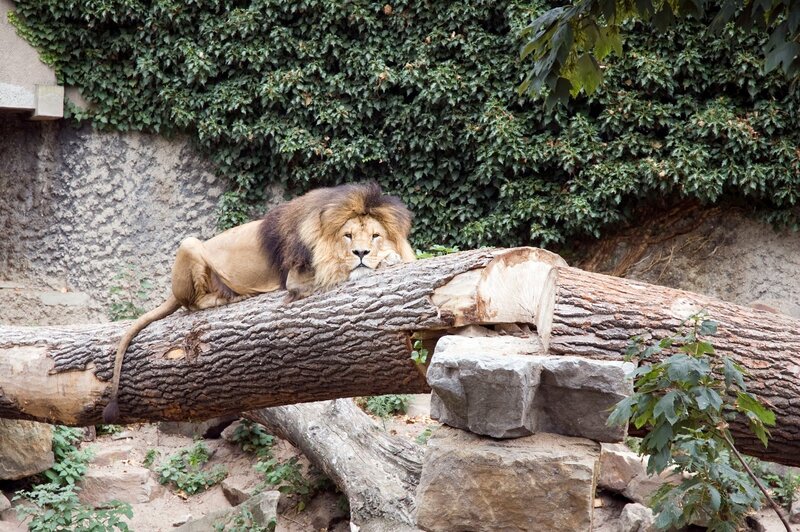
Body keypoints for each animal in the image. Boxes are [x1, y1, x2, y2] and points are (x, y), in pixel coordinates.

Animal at [103, 182, 416, 422]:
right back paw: (229, 296)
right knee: (193, 304)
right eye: (347, 235)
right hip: (189, 243)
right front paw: (377, 262)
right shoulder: (297, 279)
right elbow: (338, 269)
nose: (361, 252)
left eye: (375, 236)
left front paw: (392, 257)